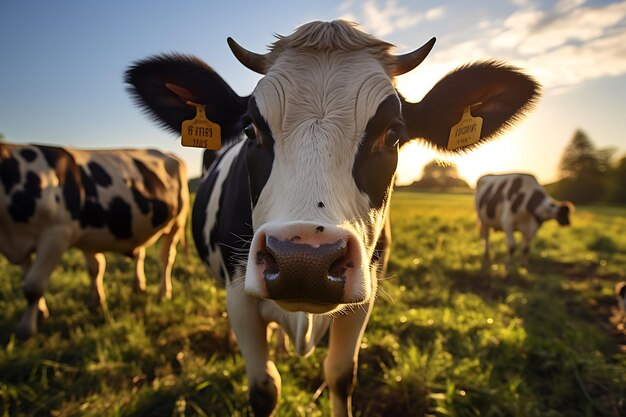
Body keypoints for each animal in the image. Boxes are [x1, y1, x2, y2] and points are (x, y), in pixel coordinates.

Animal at [0, 142, 188, 338]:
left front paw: (26, 330)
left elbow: (33, 286)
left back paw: (163, 293)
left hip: (177, 222)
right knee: (140, 253)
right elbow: (93, 269)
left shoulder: (56, 234)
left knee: (166, 258)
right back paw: (139, 285)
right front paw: (45, 313)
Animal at [124, 20, 540, 416]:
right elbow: (264, 390)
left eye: (393, 134)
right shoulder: (239, 297)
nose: (303, 261)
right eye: (250, 129)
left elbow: (341, 376)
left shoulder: (363, 299)